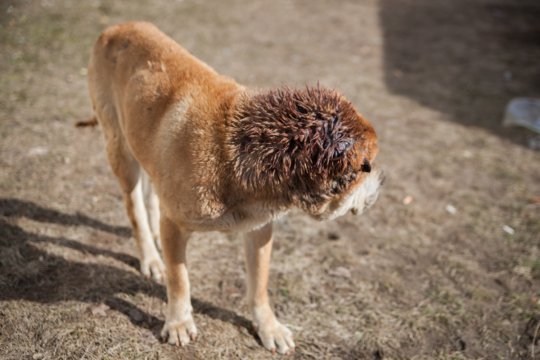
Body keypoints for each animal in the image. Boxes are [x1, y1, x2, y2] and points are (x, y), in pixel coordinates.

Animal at [88, 22, 382, 354]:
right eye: (368, 166)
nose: (380, 184)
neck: (236, 150)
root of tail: (115, 28)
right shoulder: (175, 224)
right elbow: (179, 279)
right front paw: (178, 323)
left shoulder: (260, 229)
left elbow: (259, 285)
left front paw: (268, 327)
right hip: (120, 151)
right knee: (134, 207)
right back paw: (150, 257)